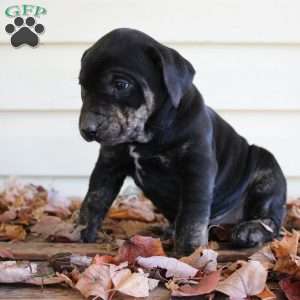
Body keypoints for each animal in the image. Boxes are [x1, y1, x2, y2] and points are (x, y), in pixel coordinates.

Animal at [78, 28, 288, 254]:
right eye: (83, 87)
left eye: (121, 85)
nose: (87, 128)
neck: (147, 133)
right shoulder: (109, 163)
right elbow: (94, 198)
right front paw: (81, 233)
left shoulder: (197, 166)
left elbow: (192, 213)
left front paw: (190, 249)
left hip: (267, 170)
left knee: (271, 219)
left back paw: (251, 230)